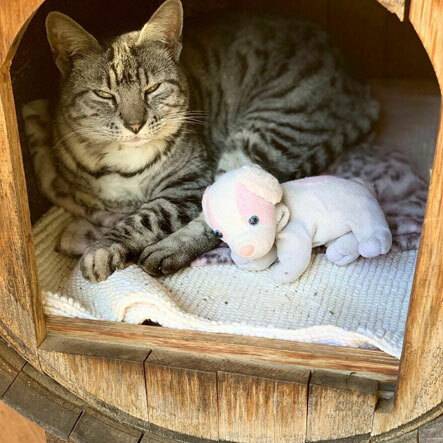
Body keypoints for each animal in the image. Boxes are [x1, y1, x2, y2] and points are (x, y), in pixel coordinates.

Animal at [22, 0, 380, 282]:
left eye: (152, 89)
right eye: (104, 95)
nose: (135, 124)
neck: (123, 164)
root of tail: (356, 84)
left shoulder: (188, 185)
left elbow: (143, 218)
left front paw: (103, 247)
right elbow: (95, 205)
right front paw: (86, 232)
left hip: (264, 130)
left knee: (228, 221)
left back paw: (167, 250)